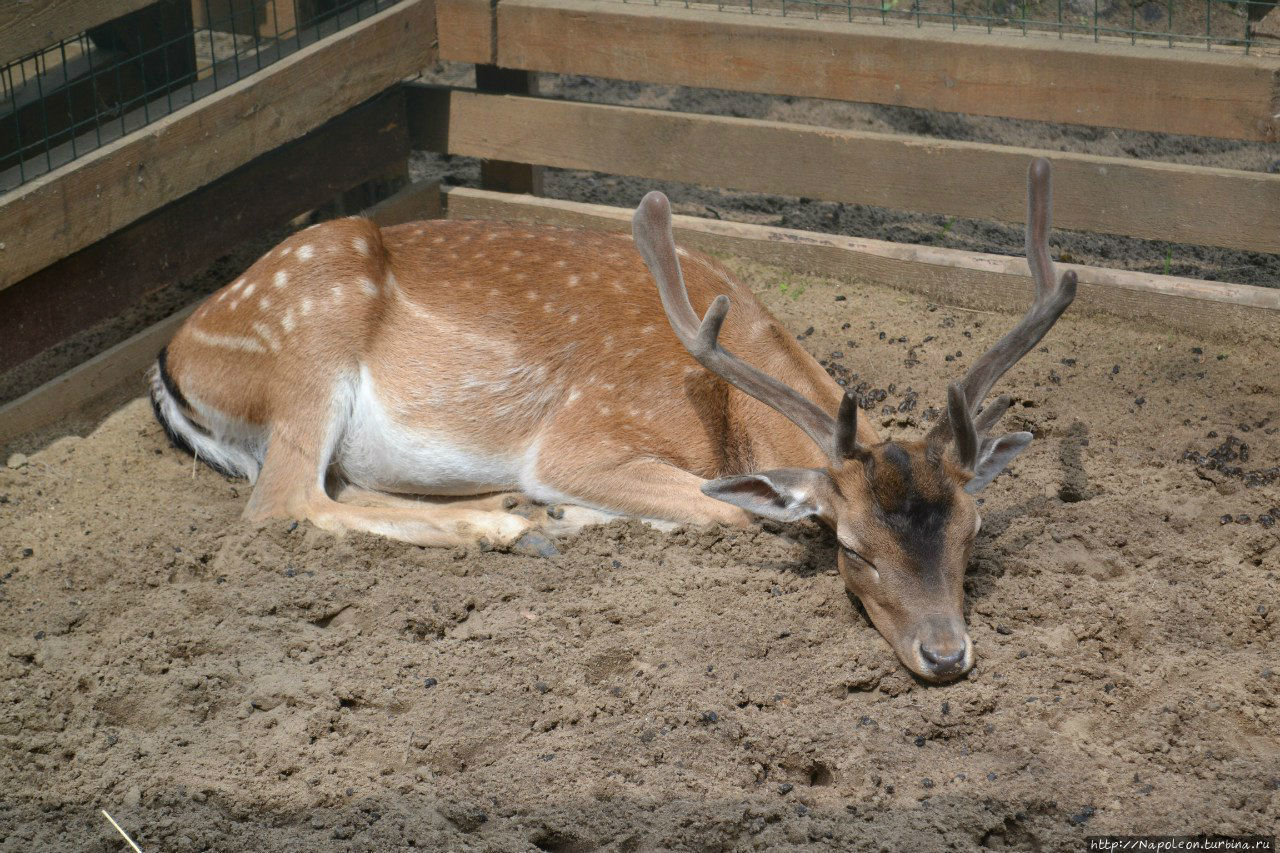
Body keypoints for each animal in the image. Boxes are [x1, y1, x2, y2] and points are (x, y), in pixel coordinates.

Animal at [147, 157, 1080, 676]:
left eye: (973, 531)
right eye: (852, 548)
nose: (947, 656)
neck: (724, 408)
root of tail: (172, 357)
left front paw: (556, 515)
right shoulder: (581, 433)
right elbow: (726, 513)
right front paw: (563, 511)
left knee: (332, 489)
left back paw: (509, 515)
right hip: (310, 340)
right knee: (281, 501)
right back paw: (514, 523)